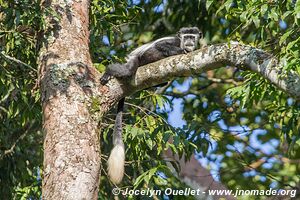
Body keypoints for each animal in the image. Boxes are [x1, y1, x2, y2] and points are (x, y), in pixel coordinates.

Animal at [102, 27, 203, 184]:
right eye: (186, 37)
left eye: (192, 37)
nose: (189, 42)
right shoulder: (174, 41)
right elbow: (162, 45)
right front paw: (182, 51)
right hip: (138, 60)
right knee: (129, 70)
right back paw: (109, 72)